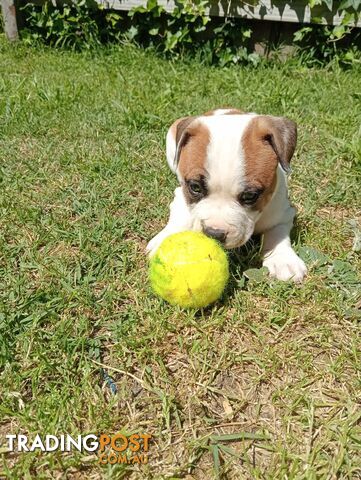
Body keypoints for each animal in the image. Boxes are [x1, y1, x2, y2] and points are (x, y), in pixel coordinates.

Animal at [146, 109, 306, 282]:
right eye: (195, 187)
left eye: (250, 195)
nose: (214, 233)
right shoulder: (181, 195)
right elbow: (181, 217)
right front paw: (165, 240)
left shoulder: (283, 212)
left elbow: (277, 233)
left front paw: (283, 260)